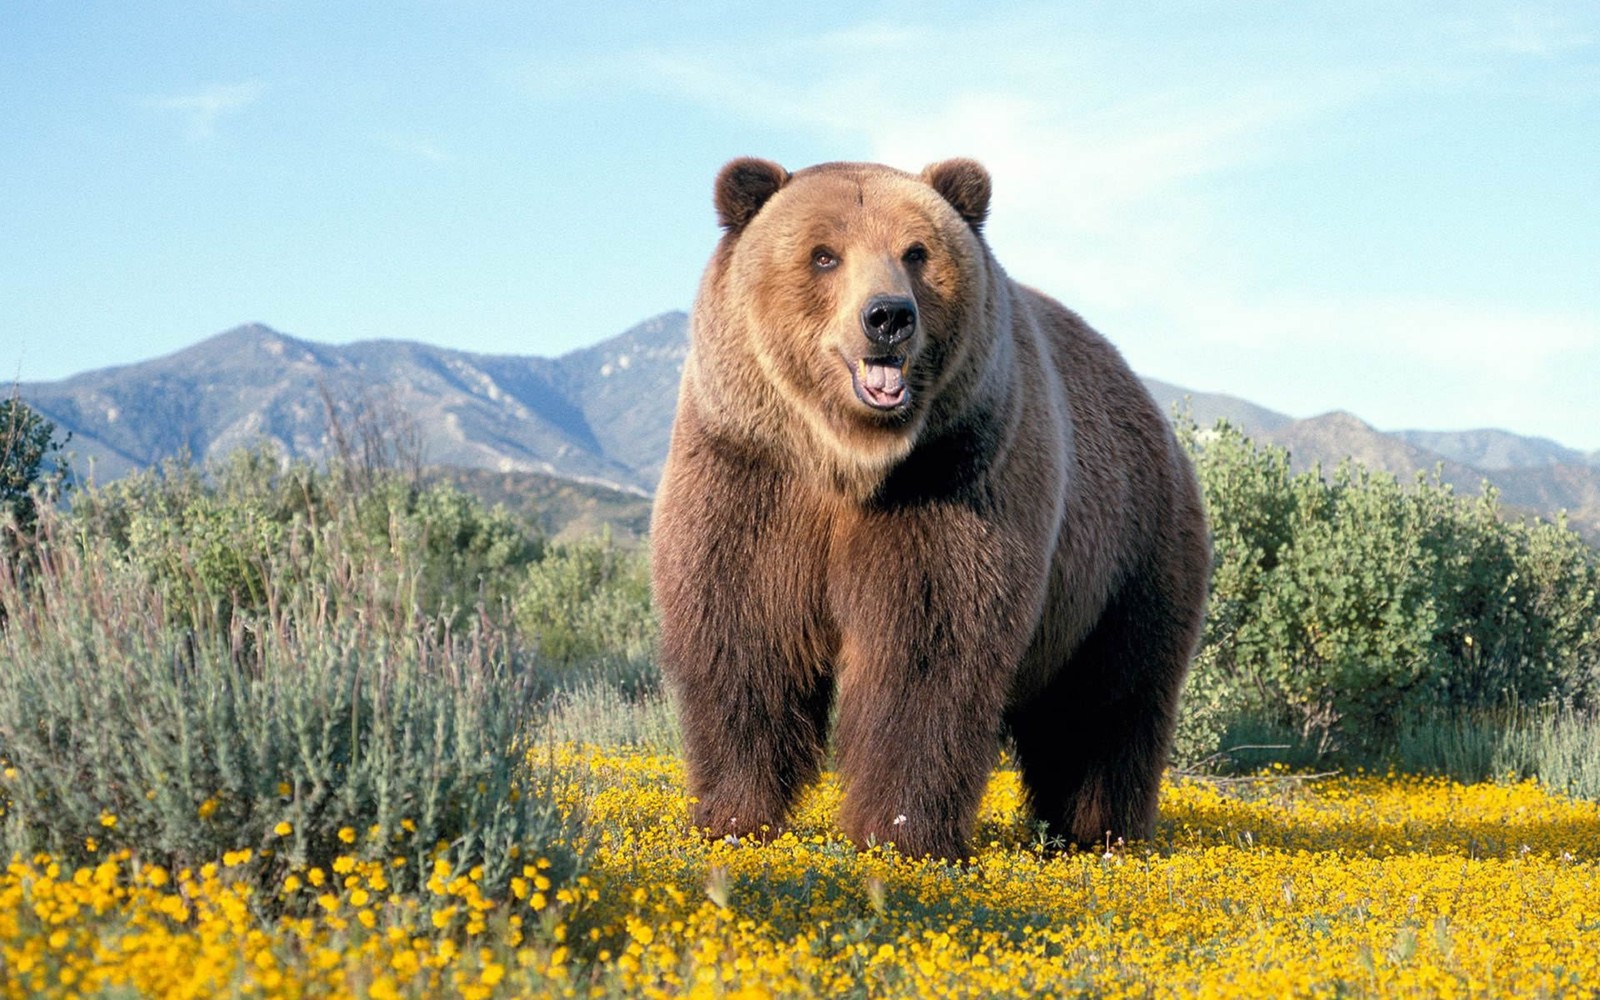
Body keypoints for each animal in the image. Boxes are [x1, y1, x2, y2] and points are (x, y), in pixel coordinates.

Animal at [649, 156, 1209, 857]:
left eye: (916, 252)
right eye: (824, 254)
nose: (888, 316)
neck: (848, 460)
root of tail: (1154, 413)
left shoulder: (953, 478)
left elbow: (926, 651)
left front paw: (901, 833)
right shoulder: (751, 472)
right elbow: (744, 634)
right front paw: (733, 817)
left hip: (1128, 555)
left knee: (1108, 703)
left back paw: (1100, 831)